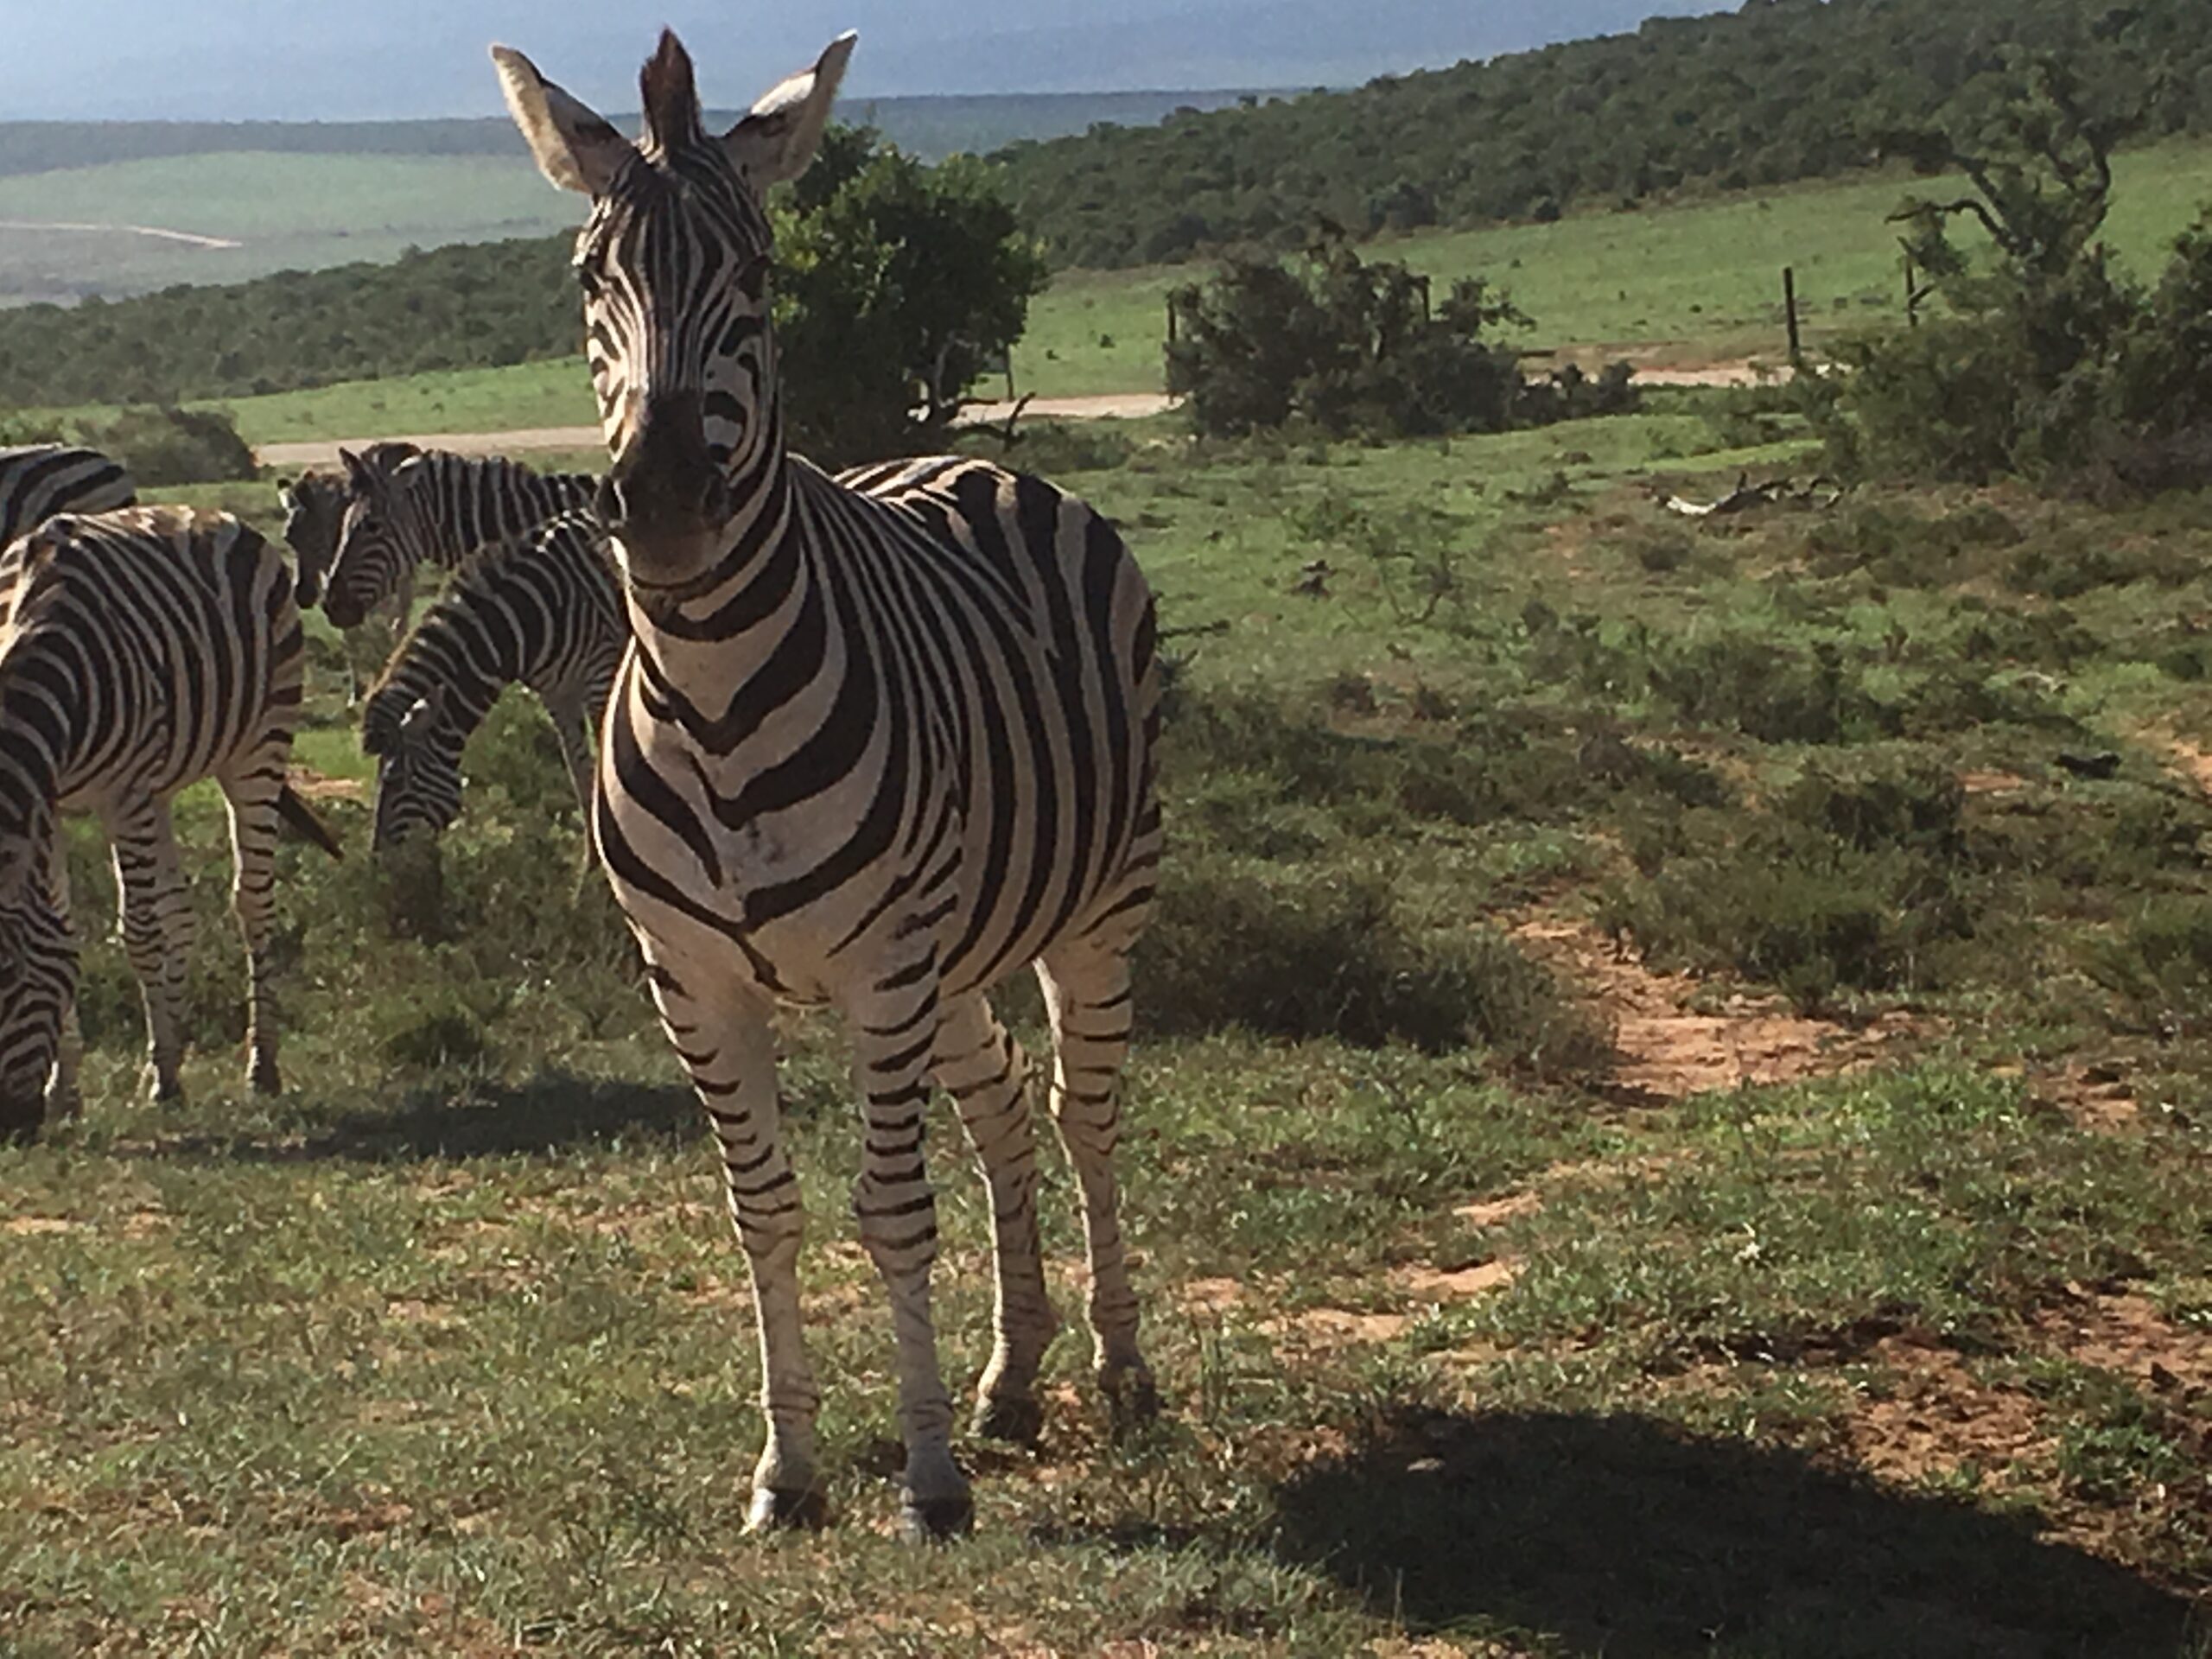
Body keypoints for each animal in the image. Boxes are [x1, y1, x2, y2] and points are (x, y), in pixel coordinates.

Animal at [0, 506, 341, 1143]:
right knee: (181, 907)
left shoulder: (123, 793)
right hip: (160, 787)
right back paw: (173, 1054)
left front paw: (162, 1077)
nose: (14, 1128)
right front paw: (69, 1088)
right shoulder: (49, 801)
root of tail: (211, 514)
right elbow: (65, 927)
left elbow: (138, 931)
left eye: (12, 977)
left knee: (252, 902)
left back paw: (260, 1067)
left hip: (259, 744)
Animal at [361, 508, 624, 851]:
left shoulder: (601, 675)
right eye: (380, 777)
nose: (379, 858)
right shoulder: (558, 694)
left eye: (398, 780)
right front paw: (591, 862)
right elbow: (582, 776)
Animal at [494, 29, 1162, 1538]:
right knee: (1000, 1109)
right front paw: (789, 1470)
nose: (664, 506)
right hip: (954, 955)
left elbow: (891, 1212)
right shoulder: (692, 980)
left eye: (758, 273)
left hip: (1093, 909)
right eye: (590, 279)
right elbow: (767, 1211)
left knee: (1082, 1111)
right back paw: (1012, 1381)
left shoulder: (879, 966)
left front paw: (927, 1479)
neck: (715, 704)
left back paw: (1120, 1371)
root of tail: (971, 460)